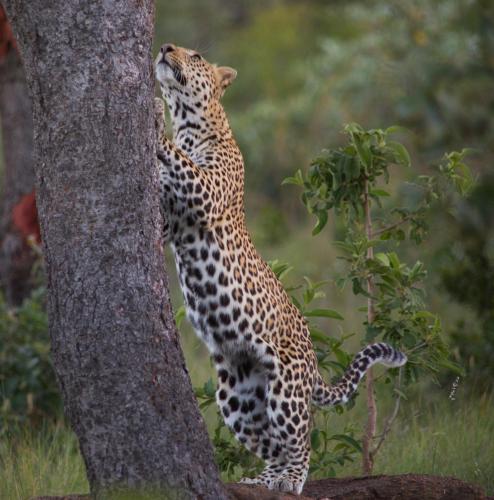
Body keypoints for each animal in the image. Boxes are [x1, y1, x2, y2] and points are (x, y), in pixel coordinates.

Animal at [153, 44, 406, 496]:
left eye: (194, 54)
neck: (189, 124)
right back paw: (263, 479)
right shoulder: (170, 222)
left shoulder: (205, 192)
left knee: (300, 440)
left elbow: (182, 161)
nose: (165, 48)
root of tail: (313, 360)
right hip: (237, 395)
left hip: (286, 388)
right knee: (271, 444)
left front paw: (153, 123)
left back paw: (291, 480)